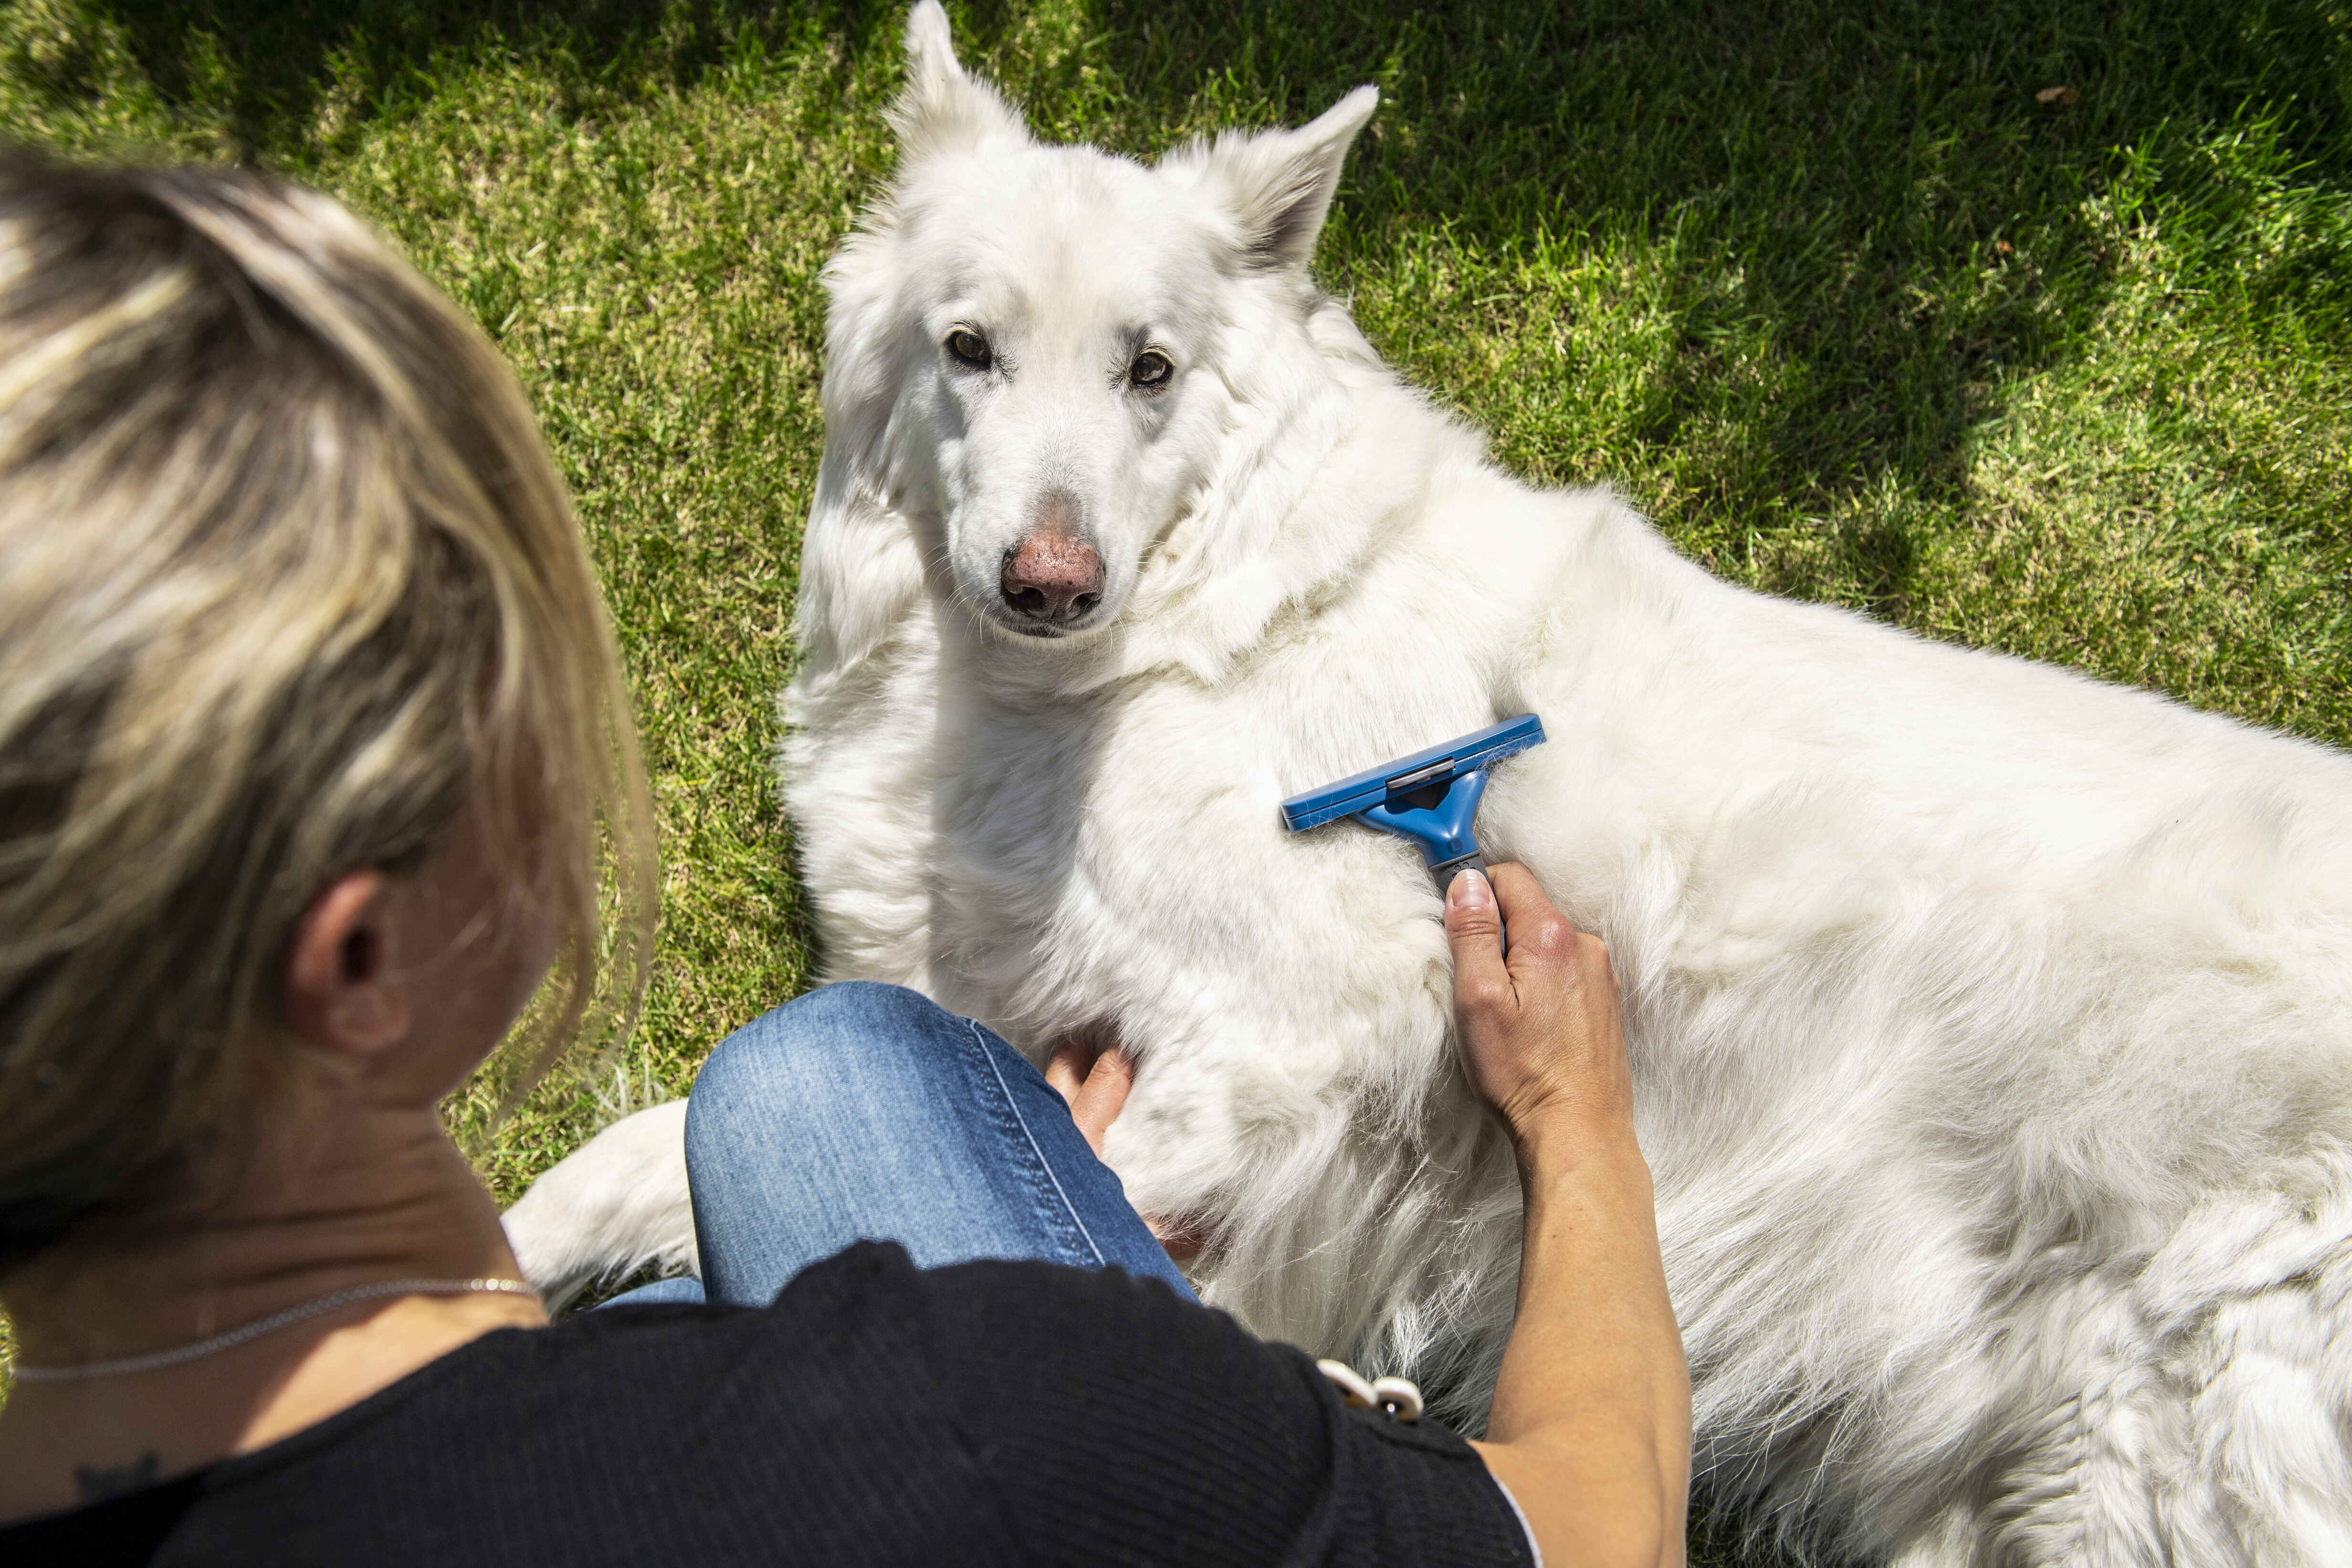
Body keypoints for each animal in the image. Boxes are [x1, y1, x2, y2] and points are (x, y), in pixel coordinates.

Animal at [505, 9, 2352, 1561]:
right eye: (967, 350)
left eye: (1149, 371)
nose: (1048, 583)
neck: (1172, 649)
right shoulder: (964, 1007)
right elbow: (618, 1161)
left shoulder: (1297, 1042)